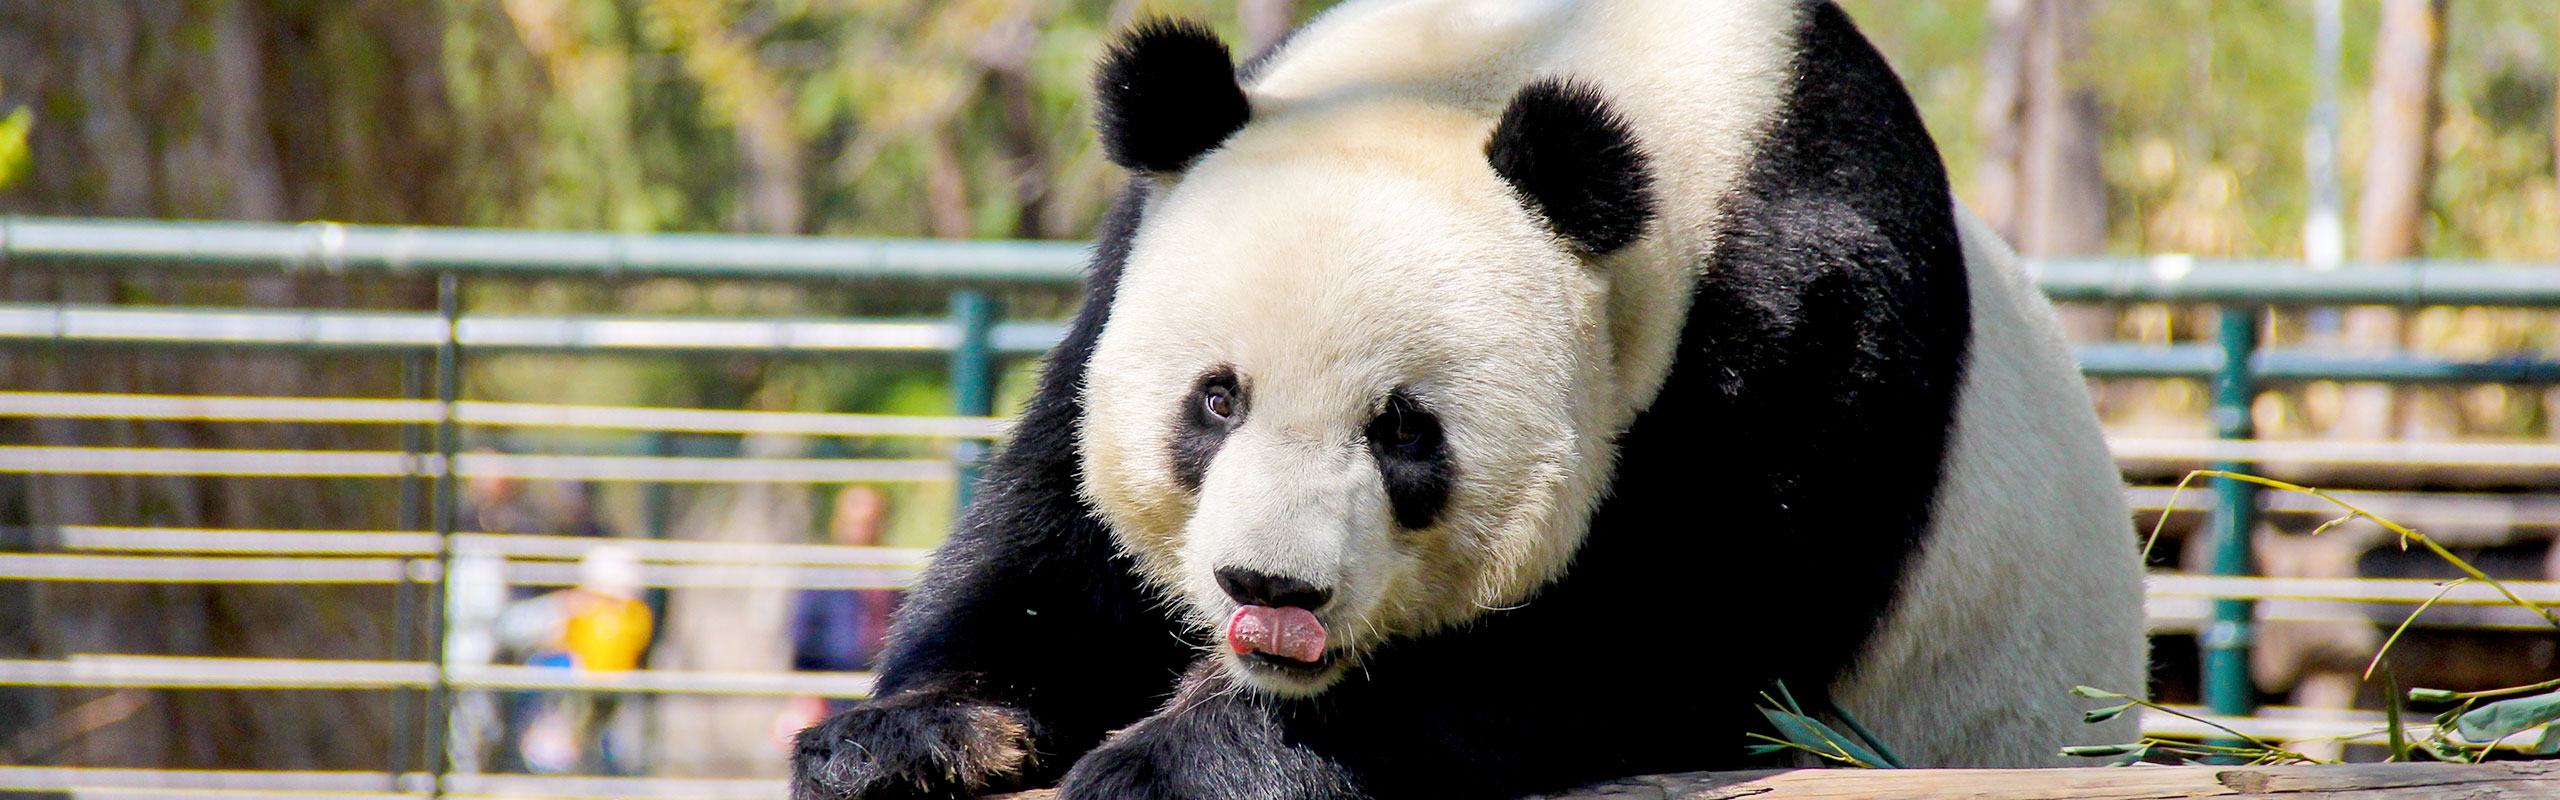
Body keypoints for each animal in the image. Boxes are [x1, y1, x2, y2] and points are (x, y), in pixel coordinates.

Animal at [792, 1, 2147, 798]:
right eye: (1215, 402)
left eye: (1403, 429)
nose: (1271, 590)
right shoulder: (1142, 236)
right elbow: (1051, 520)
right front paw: (914, 734)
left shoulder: (1811, 310)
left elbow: (1659, 628)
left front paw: (1173, 759)